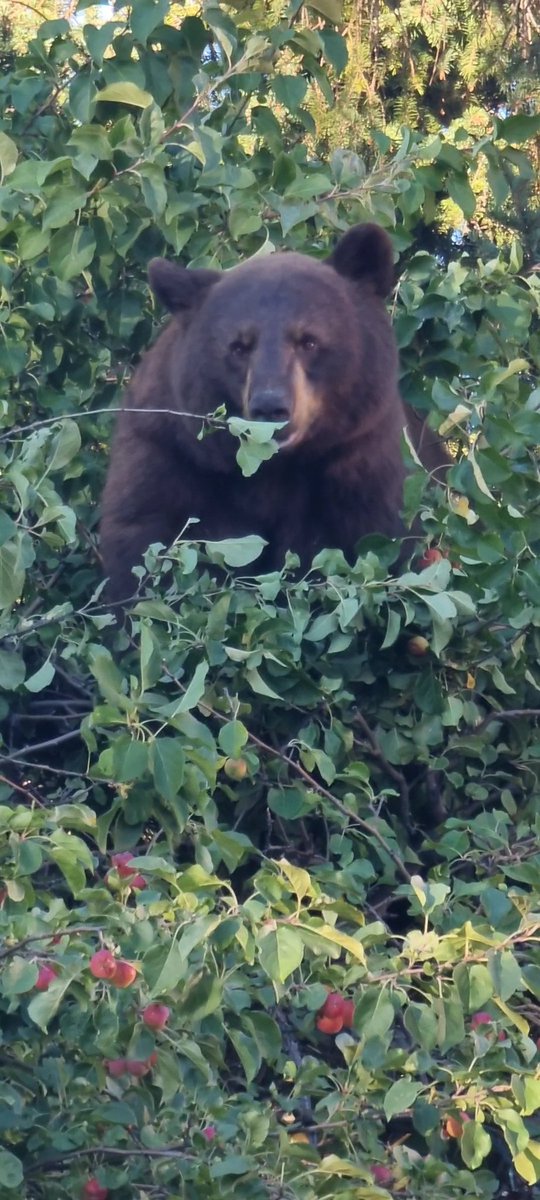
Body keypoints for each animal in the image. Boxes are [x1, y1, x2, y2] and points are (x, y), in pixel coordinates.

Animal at [100, 223, 445, 604]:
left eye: (308, 340)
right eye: (238, 347)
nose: (270, 406)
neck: (273, 468)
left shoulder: (362, 465)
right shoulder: (172, 455)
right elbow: (144, 545)